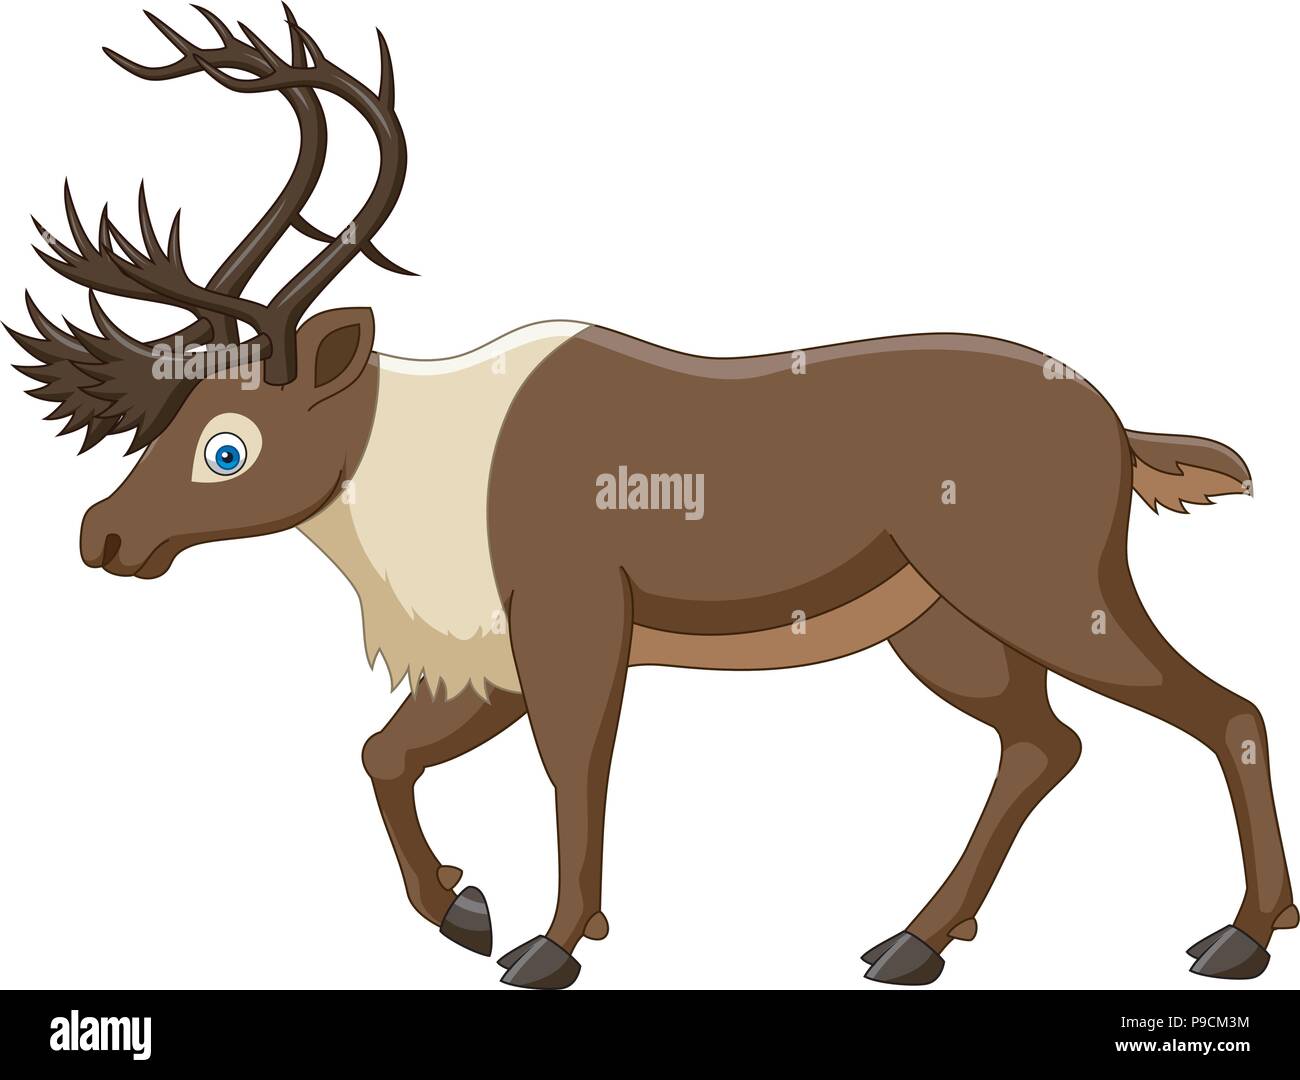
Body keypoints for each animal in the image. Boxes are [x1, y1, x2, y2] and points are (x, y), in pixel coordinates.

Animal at [10, 8, 1295, 990]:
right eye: (168, 418)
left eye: (227, 447)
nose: (102, 534)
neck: (423, 475)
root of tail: (1118, 429)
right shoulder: (492, 650)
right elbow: (382, 752)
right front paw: (461, 909)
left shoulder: (573, 616)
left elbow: (574, 767)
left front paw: (548, 944)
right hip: (941, 623)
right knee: (1043, 740)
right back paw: (909, 942)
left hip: (1041, 583)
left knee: (1222, 707)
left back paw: (1237, 937)